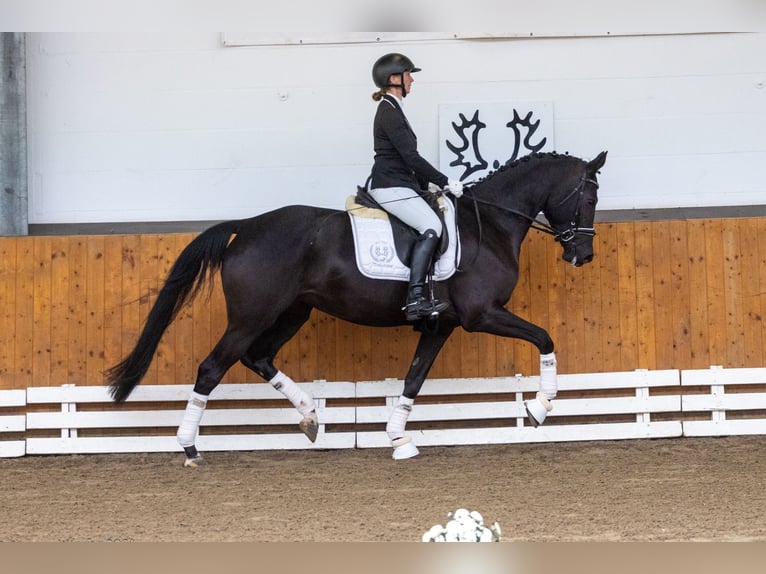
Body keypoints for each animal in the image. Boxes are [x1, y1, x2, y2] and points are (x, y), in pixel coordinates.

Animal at [105, 150, 608, 468]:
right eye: (589, 197)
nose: (583, 255)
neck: (489, 224)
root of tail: (247, 226)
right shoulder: (480, 314)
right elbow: (545, 337)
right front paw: (539, 409)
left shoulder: (440, 324)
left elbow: (414, 379)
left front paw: (398, 438)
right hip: (252, 315)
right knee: (212, 367)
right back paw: (190, 448)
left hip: (292, 312)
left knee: (258, 357)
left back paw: (311, 416)